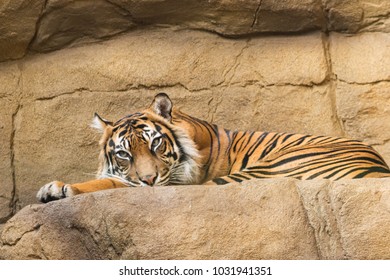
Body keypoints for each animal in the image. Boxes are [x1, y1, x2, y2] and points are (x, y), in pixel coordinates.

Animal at [36, 93, 390, 202]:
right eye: (124, 153)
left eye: (155, 143)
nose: (149, 180)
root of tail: (379, 166)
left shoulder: (175, 181)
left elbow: (112, 183)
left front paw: (60, 188)